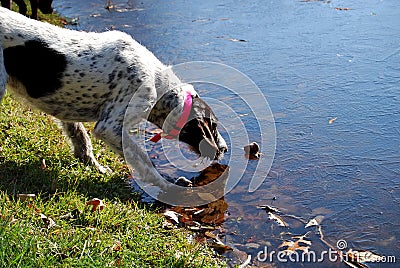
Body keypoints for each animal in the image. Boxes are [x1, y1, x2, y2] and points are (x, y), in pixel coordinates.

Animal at [0, 7, 227, 188]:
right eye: (214, 126)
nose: (224, 149)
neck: (157, 81)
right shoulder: (109, 128)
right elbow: (145, 162)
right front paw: (168, 185)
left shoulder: (66, 109)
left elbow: (81, 140)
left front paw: (95, 167)